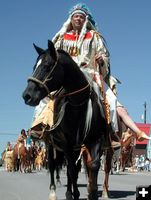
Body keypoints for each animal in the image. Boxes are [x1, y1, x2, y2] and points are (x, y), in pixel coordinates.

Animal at [22, 39, 107, 199]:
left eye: (47, 66)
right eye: (34, 66)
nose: (27, 95)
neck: (78, 105)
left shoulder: (94, 139)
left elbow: (92, 166)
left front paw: (91, 193)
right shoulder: (65, 142)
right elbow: (71, 170)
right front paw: (72, 194)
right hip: (50, 144)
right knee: (53, 165)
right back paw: (54, 192)